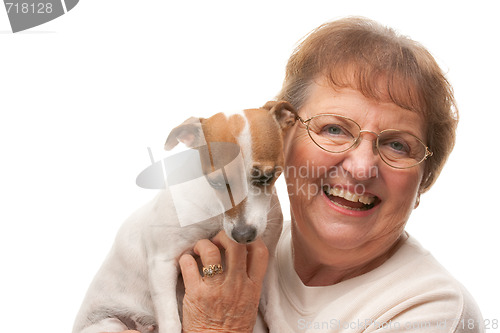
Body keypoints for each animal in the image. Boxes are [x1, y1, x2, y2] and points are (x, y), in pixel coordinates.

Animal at [71, 100, 296, 330]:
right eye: (215, 182)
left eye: (266, 177)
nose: (243, 235)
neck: (217, 216)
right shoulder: (162, 263)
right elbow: (171, 322)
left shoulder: (267, 261)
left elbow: (274, 308)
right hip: (109, 323)